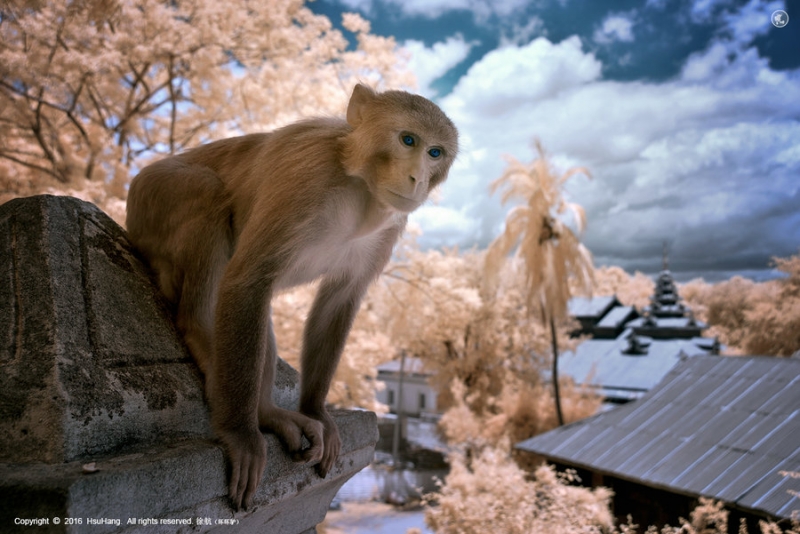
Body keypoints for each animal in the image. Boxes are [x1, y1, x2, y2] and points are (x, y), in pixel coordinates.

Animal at [124, 84, 456, 510]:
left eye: (435, 152)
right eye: (408, 140)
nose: (416, 178)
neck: (360, 190)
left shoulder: (390, 224)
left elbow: (337, 301)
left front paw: (315, 409)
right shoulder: (308, 174)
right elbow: (247, 279)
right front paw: (239, 434)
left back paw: (267, 413)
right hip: (154, 193)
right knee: (207, 195)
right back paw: (205, 341)